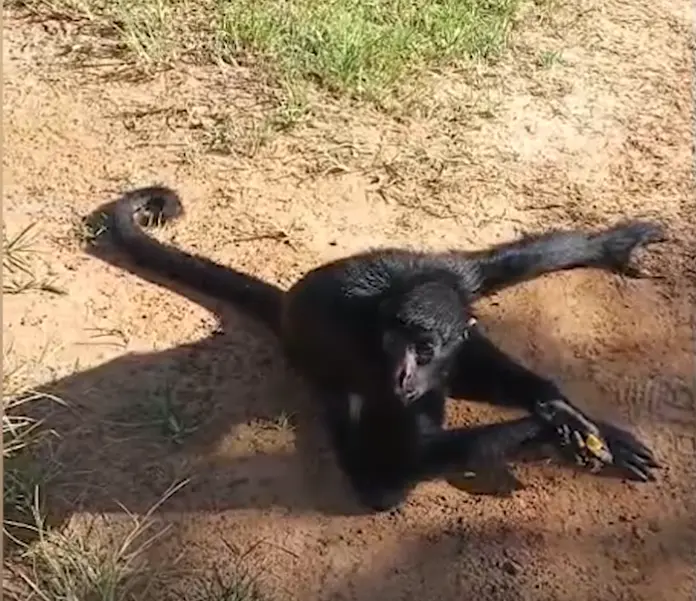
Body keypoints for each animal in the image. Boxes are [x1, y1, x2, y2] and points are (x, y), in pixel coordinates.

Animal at [104, 185, 663, 512]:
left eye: (424, 348)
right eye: (397, 344)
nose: (404, 374)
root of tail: (287, 308)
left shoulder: (454, 281)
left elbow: (499, 278)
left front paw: (562, 411)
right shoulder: (359, 351)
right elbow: (386, 473)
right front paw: (547, 429)